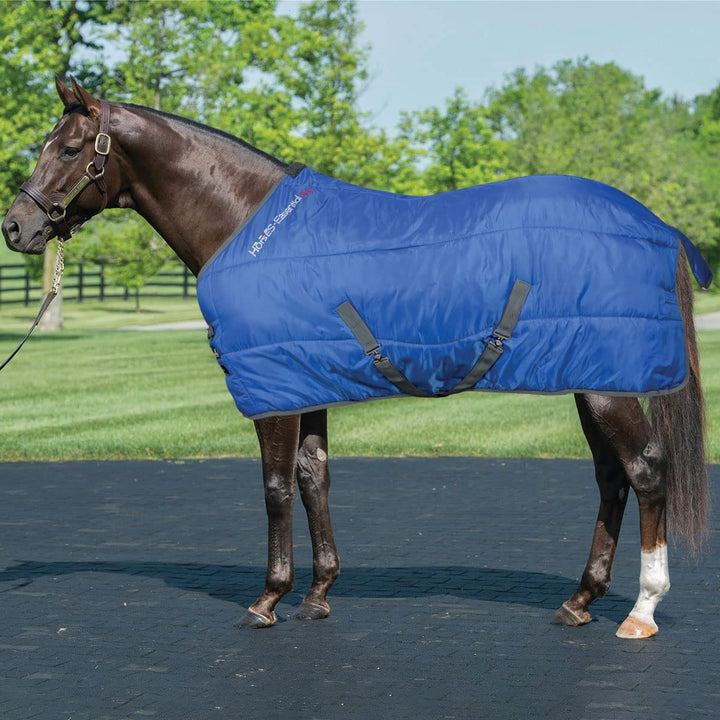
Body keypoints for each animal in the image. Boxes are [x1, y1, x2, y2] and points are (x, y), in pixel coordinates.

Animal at [2, 78, 710, 639]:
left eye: (69, 149)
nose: (15, 227)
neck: (248, 228)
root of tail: (658, 225)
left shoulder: (274, 390)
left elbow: (275, 487)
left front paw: (268, 599)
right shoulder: (305, 383)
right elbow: (314, 478)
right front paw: (318, 594)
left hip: (608, 386)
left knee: (646, 472)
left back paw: (641, 611)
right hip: (591, 376)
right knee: (612, 478)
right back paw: (580, 600)